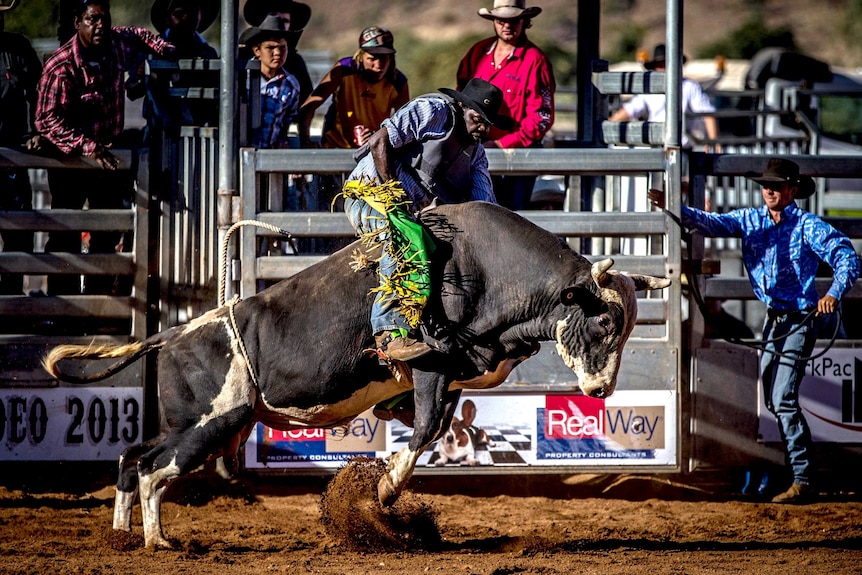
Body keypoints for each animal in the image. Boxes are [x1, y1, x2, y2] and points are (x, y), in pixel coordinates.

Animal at [42, 204, 676, 548]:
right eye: (603, 324)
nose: (601, 390)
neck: (490, 271)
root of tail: (173, 335)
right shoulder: (431, 366)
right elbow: (424, 432)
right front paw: (385, 490)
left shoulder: (453, 378)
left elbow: (431, 424)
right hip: (210, 424)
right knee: (154, 469)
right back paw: (158, 540)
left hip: (201, 424)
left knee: (133, 455)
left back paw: (123, 533)